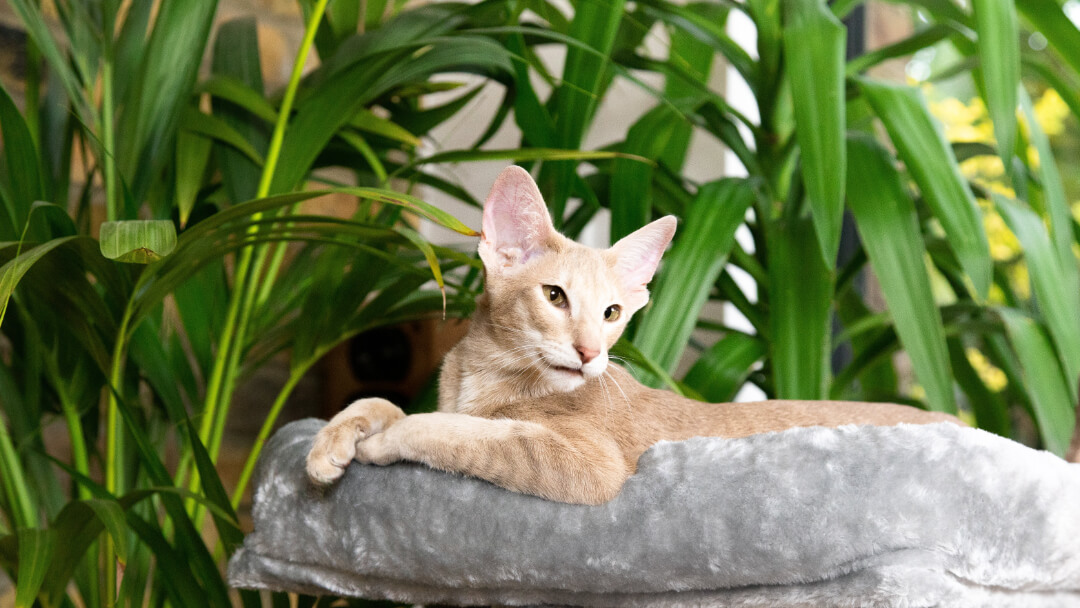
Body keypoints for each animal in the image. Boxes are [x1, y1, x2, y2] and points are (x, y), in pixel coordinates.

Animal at [306, 165, 963, 505]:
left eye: (613, 313)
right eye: (555, 296)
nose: (590, 354)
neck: (483, 376)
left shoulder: (590, 464)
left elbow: (463, 432)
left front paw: (387, 440)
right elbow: (381, 399)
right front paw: (329, 443)